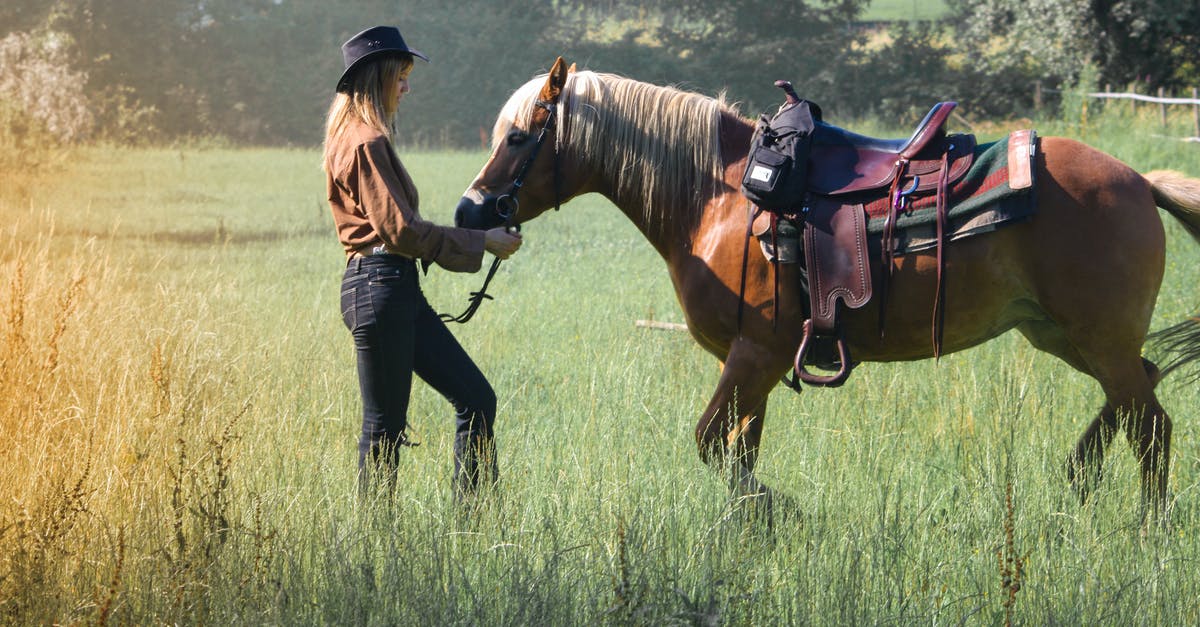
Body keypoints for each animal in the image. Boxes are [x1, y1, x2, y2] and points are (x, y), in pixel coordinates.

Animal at [453, 57, 1200, 516]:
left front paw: (777, 510)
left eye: (518, 138)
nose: (468, 210)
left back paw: (1146, 525)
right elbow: (738, 449)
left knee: (1152, 425)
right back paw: (1080, 473)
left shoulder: (755, 354)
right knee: (1141, 389)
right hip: (1061, 334)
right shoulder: (752, 362)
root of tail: (1139, 180)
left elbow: (710, 442)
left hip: (1094, 339)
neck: (719, 195)